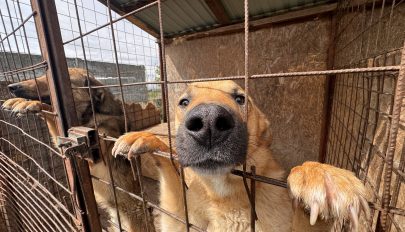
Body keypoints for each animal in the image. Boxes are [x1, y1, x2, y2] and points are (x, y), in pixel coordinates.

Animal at [111, 80, 370, 232]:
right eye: (184, 102)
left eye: (240, 98)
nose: (209, 123)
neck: (224, 194)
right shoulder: (180, 221)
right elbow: (170, 168)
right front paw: (148, 138)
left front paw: (320, 174)